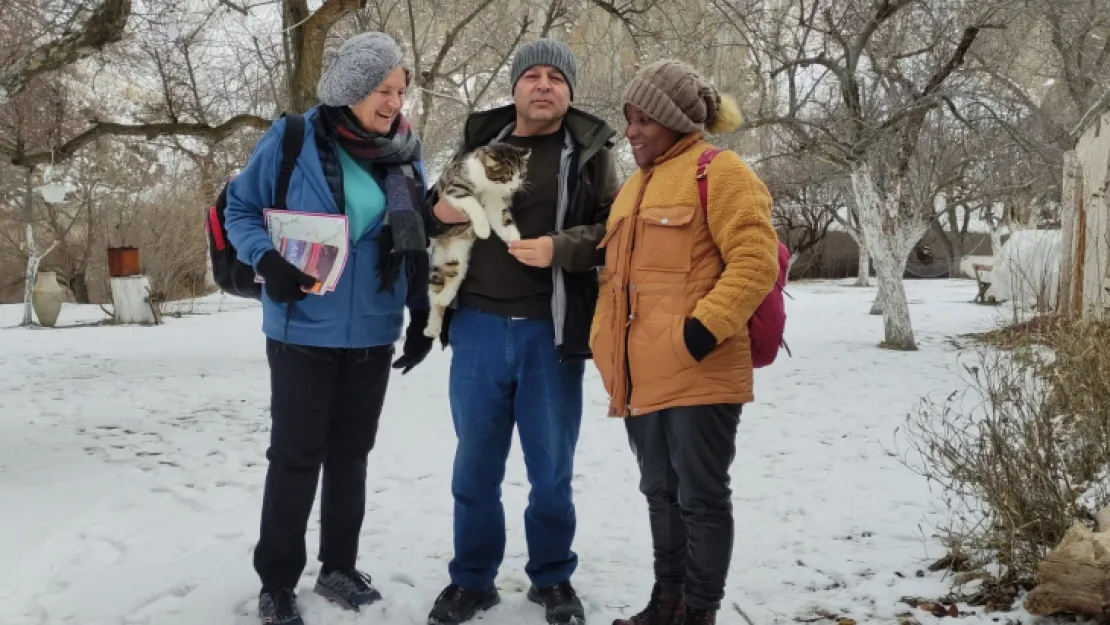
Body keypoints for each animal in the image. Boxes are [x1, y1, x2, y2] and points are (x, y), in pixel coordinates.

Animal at [421, 142, 530, 339]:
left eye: (521, 175)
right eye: (508, 176)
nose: (515, 188)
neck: (488, 184)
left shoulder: (494, 199)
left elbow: (501, 216)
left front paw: (512, 236)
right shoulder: (456, 187)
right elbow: (474, 204)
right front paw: (483, 229)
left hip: (457, 259)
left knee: (452, 281)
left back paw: (444, 301)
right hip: (437, 265)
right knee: (433, 297)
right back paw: (433, 322)